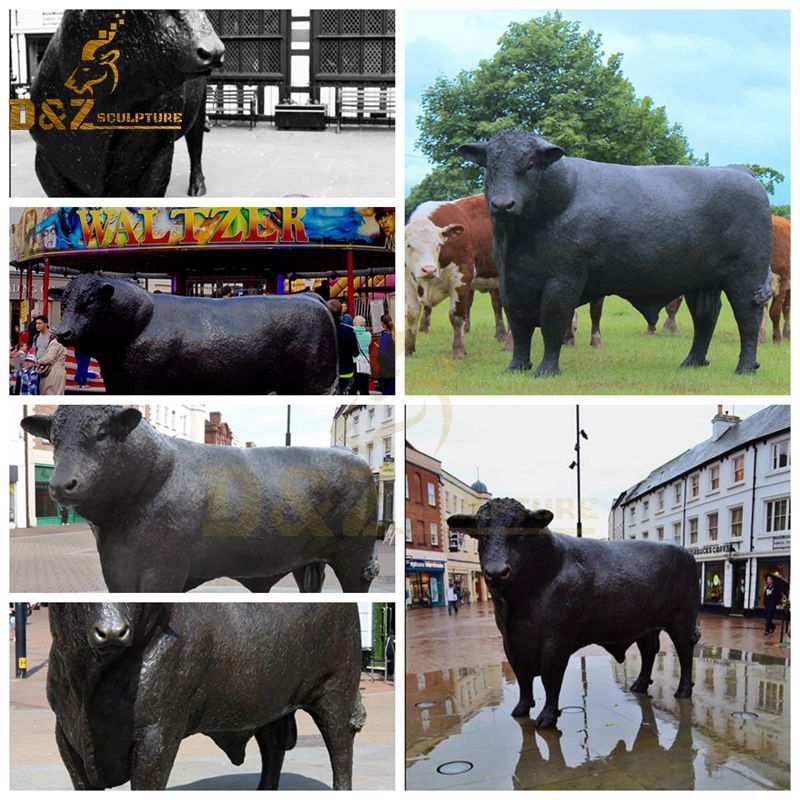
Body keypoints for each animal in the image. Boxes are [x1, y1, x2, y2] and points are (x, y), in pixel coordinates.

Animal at [406, 195, 506, 358]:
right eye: (408, 245)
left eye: (439, 245)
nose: (428, 270)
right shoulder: (409, 282)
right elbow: (412, 315)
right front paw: (408, 350)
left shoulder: (461, 278)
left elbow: (456, 316)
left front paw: (458, 351)